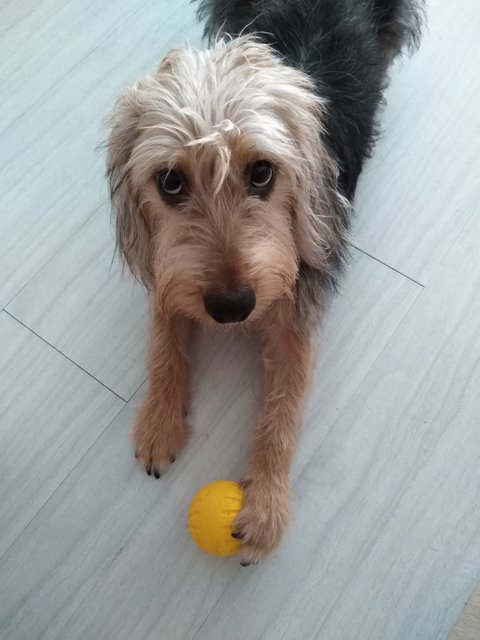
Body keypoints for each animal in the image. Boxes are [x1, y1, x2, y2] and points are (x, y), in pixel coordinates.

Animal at [106, 0, 423, 564]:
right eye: (170, 181)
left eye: (261, 172)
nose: (232, 306)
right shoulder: (173, 271)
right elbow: (163, 341)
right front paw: (159, 421)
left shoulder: (297, 301)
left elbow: (285, 407)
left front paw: (267, 503)